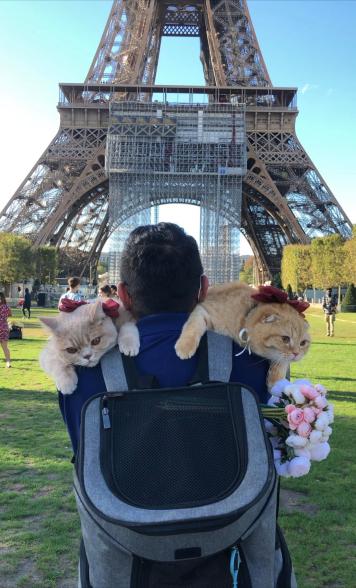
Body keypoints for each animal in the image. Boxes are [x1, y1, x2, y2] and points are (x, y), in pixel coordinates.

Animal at [174, 282, 310, 390]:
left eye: (303, 343)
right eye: (285, 339)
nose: (297, 354)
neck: (245, 316)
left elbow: (282, 361)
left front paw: (276, 381)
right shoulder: (203, 310)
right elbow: (193, 327)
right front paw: (185, 347)